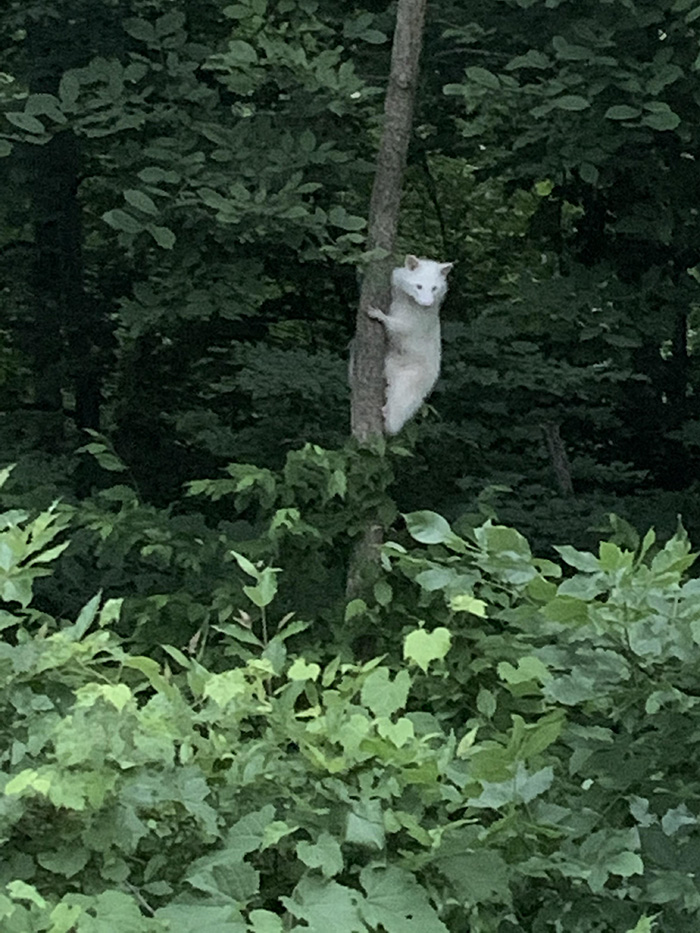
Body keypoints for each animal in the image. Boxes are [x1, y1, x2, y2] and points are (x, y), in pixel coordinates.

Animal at [366, 251, 454, 434]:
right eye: (419, 286)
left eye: (434, 288)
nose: (427, 303)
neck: (411, 300)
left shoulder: (420, 319)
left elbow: (402, 327)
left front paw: (381, 316)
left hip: (414, 375)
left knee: (400, 399)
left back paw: (390, 419)